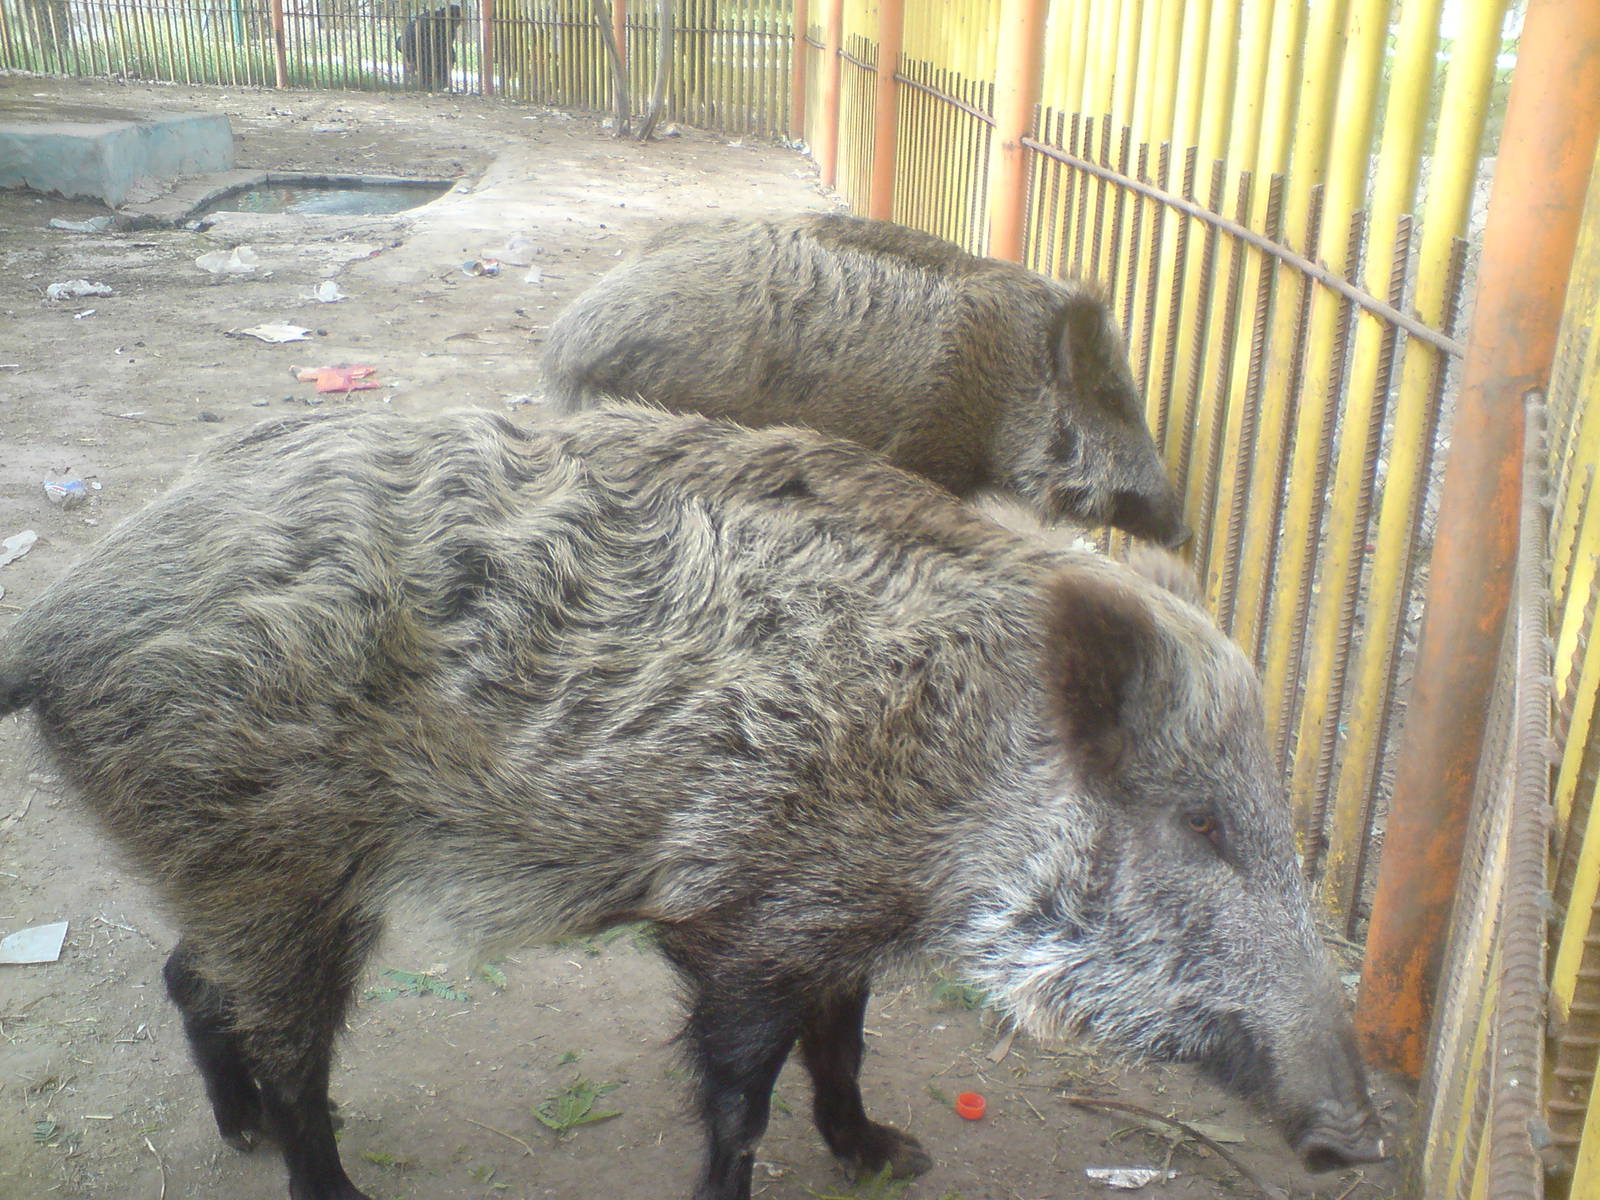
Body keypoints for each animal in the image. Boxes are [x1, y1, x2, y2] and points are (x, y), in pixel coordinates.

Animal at [0, 405, 1381, 1200]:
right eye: (1199, 823)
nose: (1363, 1137)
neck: (952, 755)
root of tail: (56, 621)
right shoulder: (746, 915)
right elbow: (738, 1093)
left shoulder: (834, 915)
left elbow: (844, 1047)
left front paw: (892, 1156)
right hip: (274, 855)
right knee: (289, 1048)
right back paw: (325, 1185)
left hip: (246, 865)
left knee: (191, 978)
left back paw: (235, 1136)